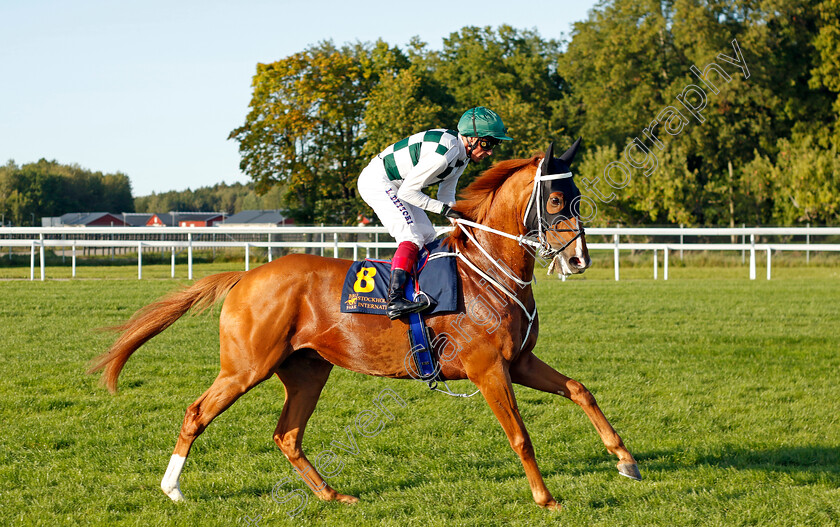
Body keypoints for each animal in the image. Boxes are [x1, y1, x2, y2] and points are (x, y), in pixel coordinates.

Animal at [88, 140, 640, 512]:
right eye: (555, 201)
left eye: (578, 195)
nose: (580, 260)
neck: (490, 269)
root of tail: (247, 274)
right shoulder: (487, 368)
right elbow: (520, 435)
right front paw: (546, 498)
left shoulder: (518, 360)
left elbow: (580, 389)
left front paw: (625, 460)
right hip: (245, 367)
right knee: (197, 413)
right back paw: (173, 488)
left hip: (307, 371)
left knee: (287, 436)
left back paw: (332, 495)